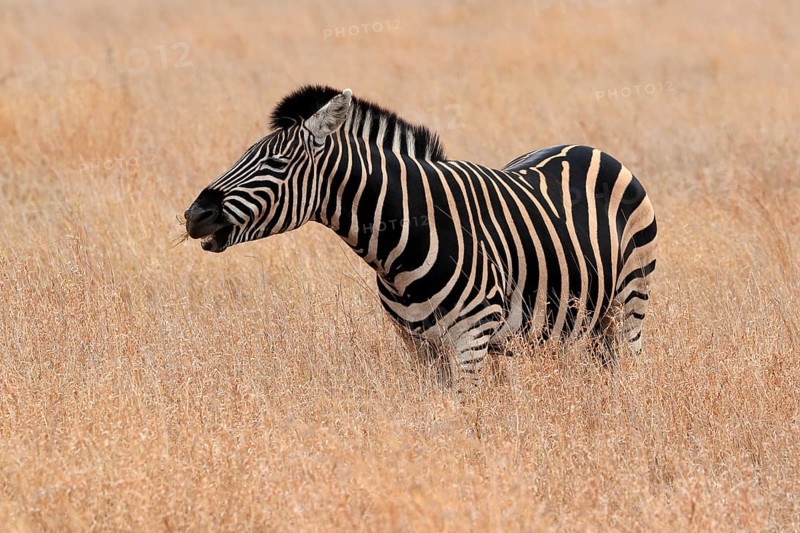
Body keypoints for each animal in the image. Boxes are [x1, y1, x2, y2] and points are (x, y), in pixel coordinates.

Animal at [184, 85, 657, 385]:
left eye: (277, 164)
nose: (194, 214)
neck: (401, 245)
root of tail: (590, 148)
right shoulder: (418, 346)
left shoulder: (472, 338)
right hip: (579, 319)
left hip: (628, 303)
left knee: (629, 368)